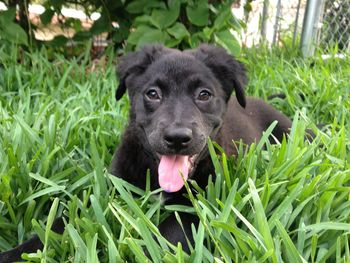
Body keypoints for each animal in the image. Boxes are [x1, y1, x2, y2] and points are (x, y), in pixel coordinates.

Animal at [0, 45, 292, 262]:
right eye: (153, 94)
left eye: (204, 95)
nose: (177, 138)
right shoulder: (111, 190)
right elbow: (60, 223)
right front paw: (14, 253)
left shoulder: (199, 204)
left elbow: (166, 235)